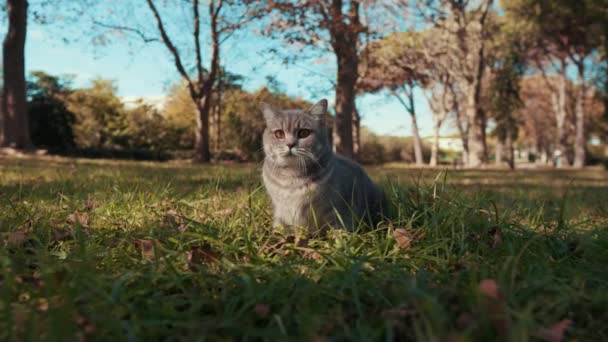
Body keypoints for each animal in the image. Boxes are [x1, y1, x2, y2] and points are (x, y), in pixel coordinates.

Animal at [262, 99, 384, 232]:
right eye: (279, 134)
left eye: (304, 133)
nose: (290, 144)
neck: (293, 177)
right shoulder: (281, 211)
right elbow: (280, 226)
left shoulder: (340, 209)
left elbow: (339, 228)